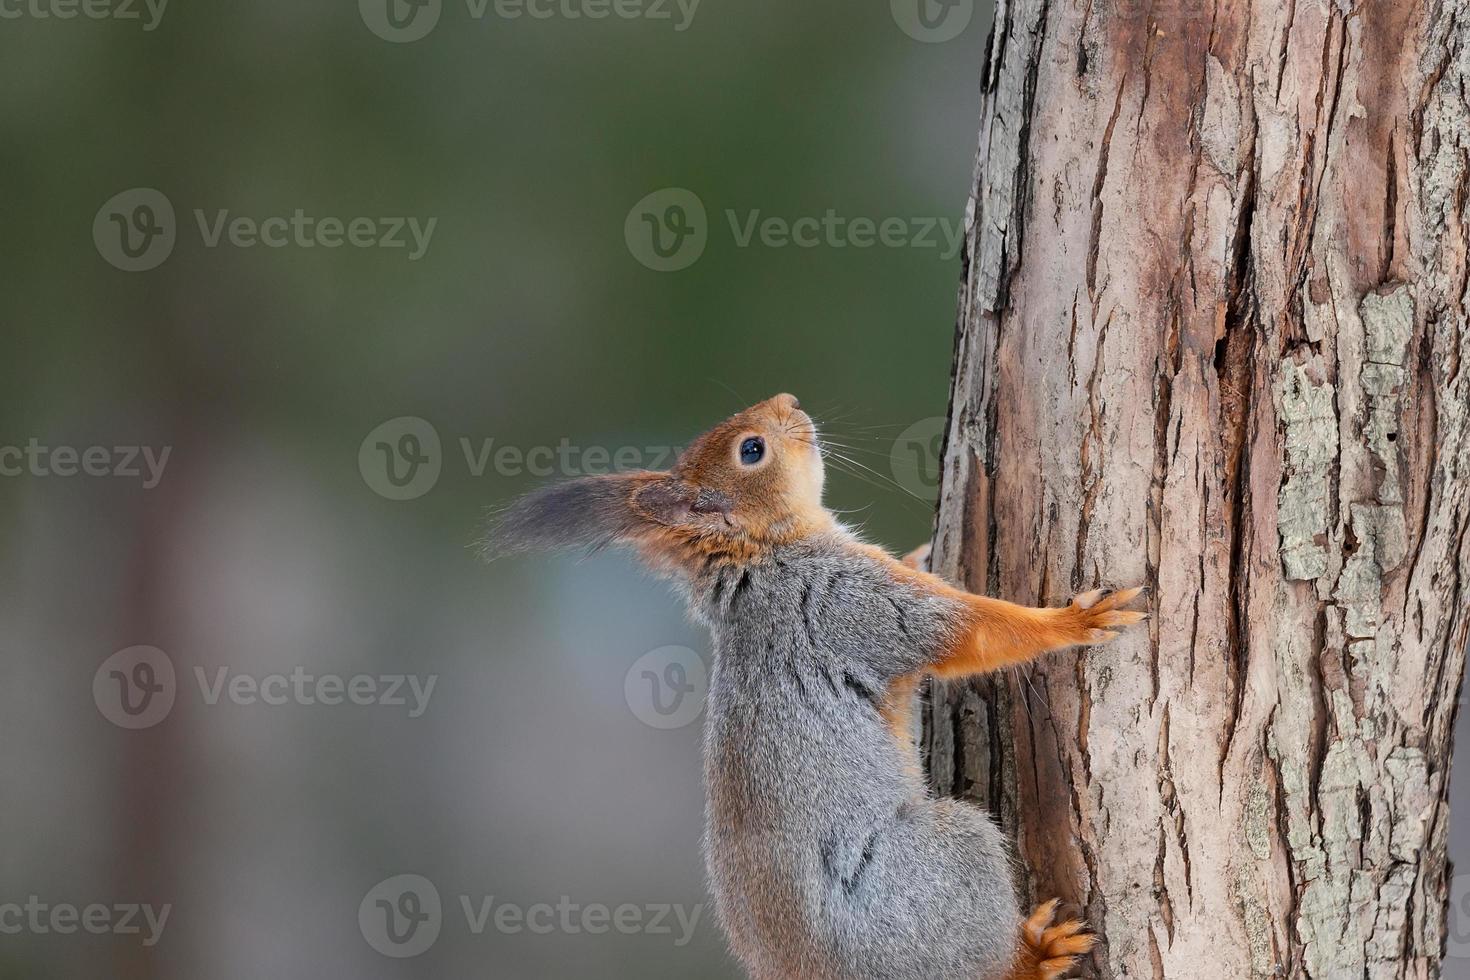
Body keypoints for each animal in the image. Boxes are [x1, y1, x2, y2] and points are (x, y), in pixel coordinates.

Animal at [485, 393, 1146, 980]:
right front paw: (1073, 622)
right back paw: (1033, 958)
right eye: (752, 450)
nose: (790, 401)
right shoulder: (844, 602)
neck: (760, 555)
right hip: (944, 873)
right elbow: (971, 632)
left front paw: (921, 550)